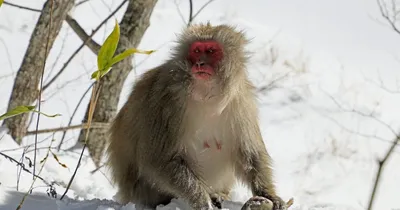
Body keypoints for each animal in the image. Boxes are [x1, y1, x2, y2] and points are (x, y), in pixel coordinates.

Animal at [106, 23, 288, 210]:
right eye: (197, 50)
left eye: (211, 51)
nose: (200, 63)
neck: (206, 96)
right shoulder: (166, 101)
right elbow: (159, 159)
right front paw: (202, 200)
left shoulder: (241, 101)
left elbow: (250, 155)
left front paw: (269, 195)